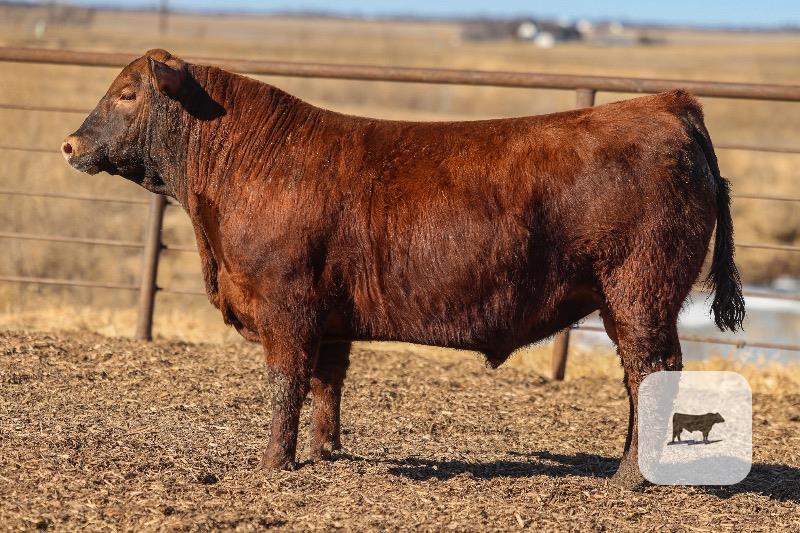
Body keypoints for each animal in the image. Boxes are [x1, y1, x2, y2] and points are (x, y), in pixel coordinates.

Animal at [62, 49, 745, 488]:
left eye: (126, 93)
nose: (70, 144)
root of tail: (668, 103)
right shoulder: (327, 316)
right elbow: (326, 382)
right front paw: (326, 452)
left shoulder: (286, 306)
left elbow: (286, 383)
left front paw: (273, 465)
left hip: (637, 292)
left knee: (650, 370)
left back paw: (630, 477)